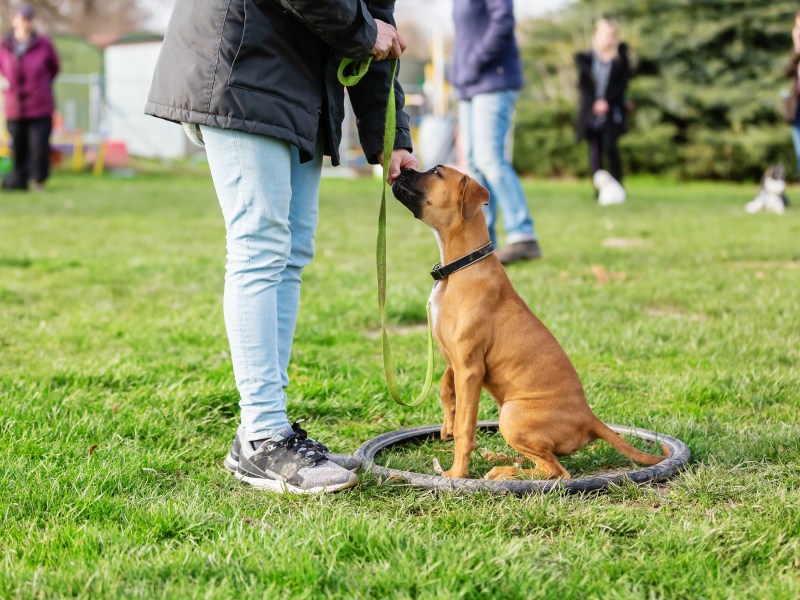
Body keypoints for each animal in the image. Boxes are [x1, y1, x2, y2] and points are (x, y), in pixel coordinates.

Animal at [390, 166, 664, 480]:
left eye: (435, 171)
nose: (402, 169)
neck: (462, 266)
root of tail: (590, 418)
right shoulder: (454, 358)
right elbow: (447, 390)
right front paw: (446, 426)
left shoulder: (470, 368)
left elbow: (465, 428)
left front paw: (456, 474)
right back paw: (502, 459)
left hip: (511, 414)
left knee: (556, 471)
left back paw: (503, 471)